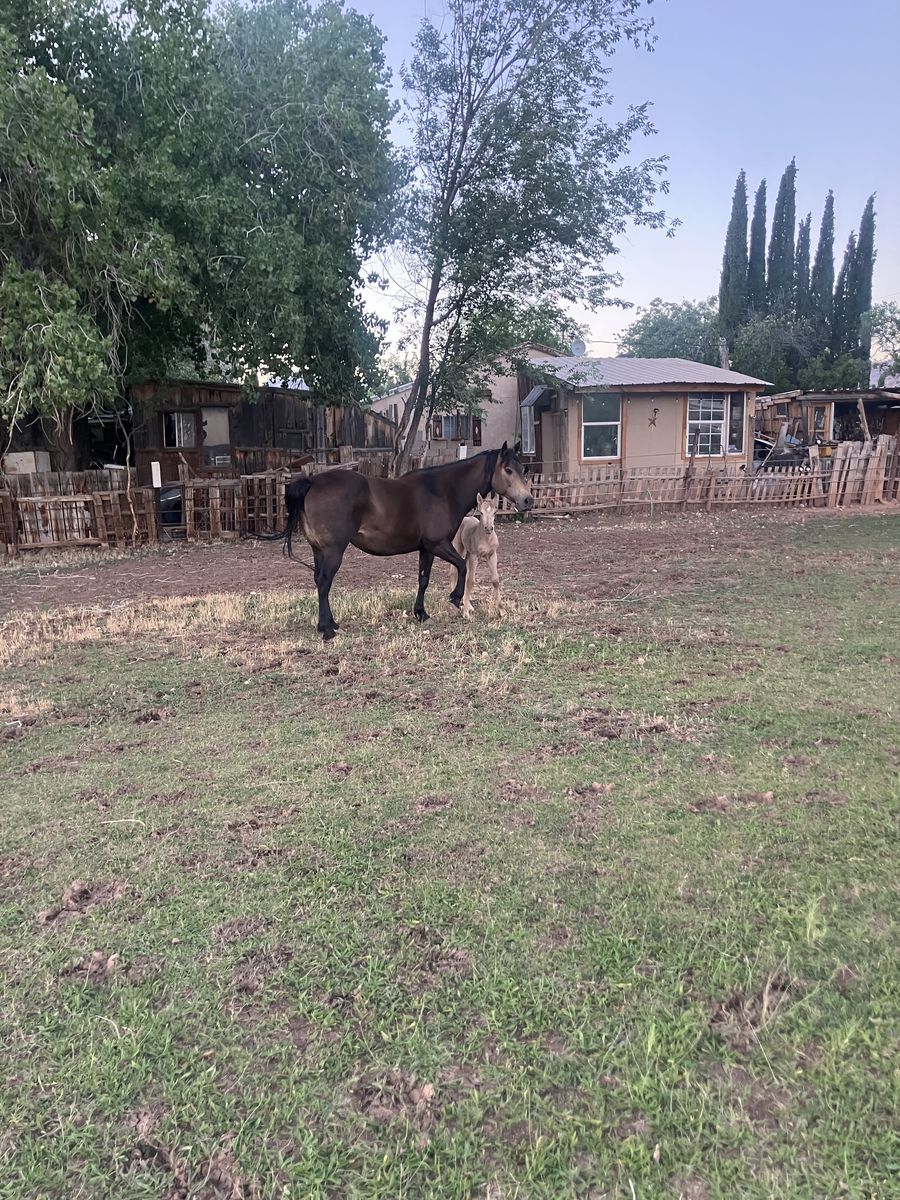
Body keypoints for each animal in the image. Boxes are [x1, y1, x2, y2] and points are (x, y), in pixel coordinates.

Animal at [271, 443, 533, 639]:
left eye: (522, 468)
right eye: (508, 470)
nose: (528, 500)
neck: (442, 491)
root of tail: (312, 482)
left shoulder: (426, 549)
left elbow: (423, 580)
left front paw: (421, 614)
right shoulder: (438, 544)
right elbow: (461, 567)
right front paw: (456, 598)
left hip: (319, 551)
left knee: (319, 582)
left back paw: (330, 624)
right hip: (333, 552)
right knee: (325, 584)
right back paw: (327, 630)